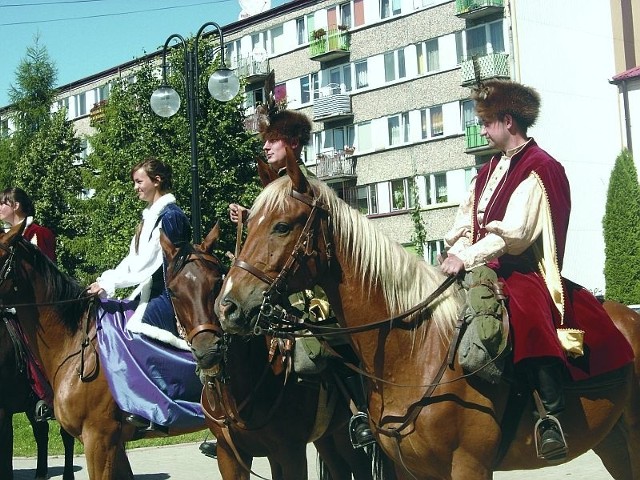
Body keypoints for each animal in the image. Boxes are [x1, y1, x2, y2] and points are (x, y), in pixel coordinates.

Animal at [158, 225, 392, 480]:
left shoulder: (290, 453)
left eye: (217, 282)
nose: (208, 349)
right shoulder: (230, 456)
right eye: (172, 291)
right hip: (328, 435)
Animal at [215, 148, 640, 478]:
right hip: (613, 442)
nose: (228, 306)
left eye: (282, 226)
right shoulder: (407, 468)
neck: (415, 351)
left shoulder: (469, 467)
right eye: (248, 224)